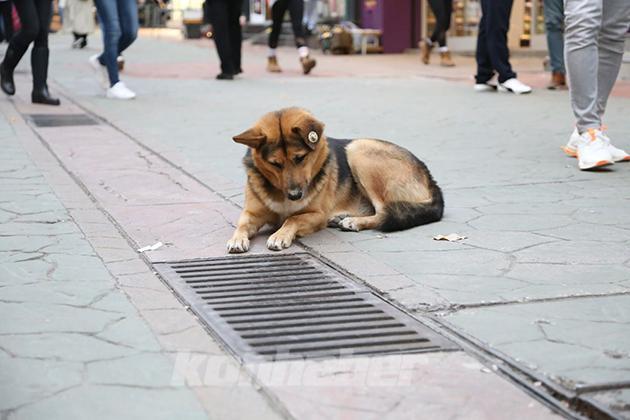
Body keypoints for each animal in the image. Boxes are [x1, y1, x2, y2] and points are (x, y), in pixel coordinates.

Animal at [227, 107, 444, 253]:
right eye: (275, 164)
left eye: (300, 158)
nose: (295, 195)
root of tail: (430, 177)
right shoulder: (251, 213)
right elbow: (242, 224)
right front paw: (237, 239)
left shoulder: (317, 215)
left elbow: (292, 218)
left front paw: (280, 234)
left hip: (359, 151)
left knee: (384, 211)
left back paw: (354, 222)